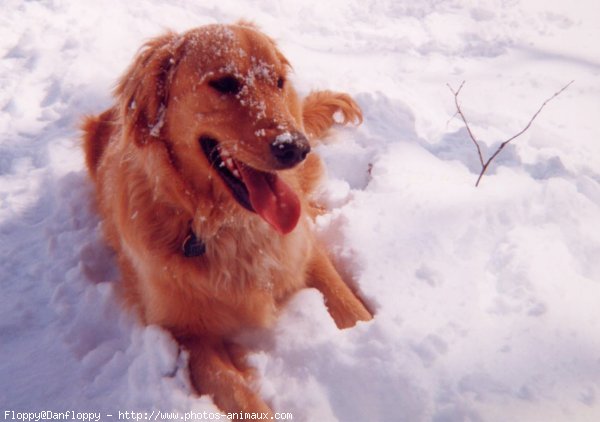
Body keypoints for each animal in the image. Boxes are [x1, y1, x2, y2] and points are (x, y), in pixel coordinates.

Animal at [82, 22, 372, 416]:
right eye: (224, 83)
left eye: (278, 81)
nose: (296, 147)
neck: (225, 225)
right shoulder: (185, 335)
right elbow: (239, 393)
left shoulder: (303, 252)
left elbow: (348, 303)